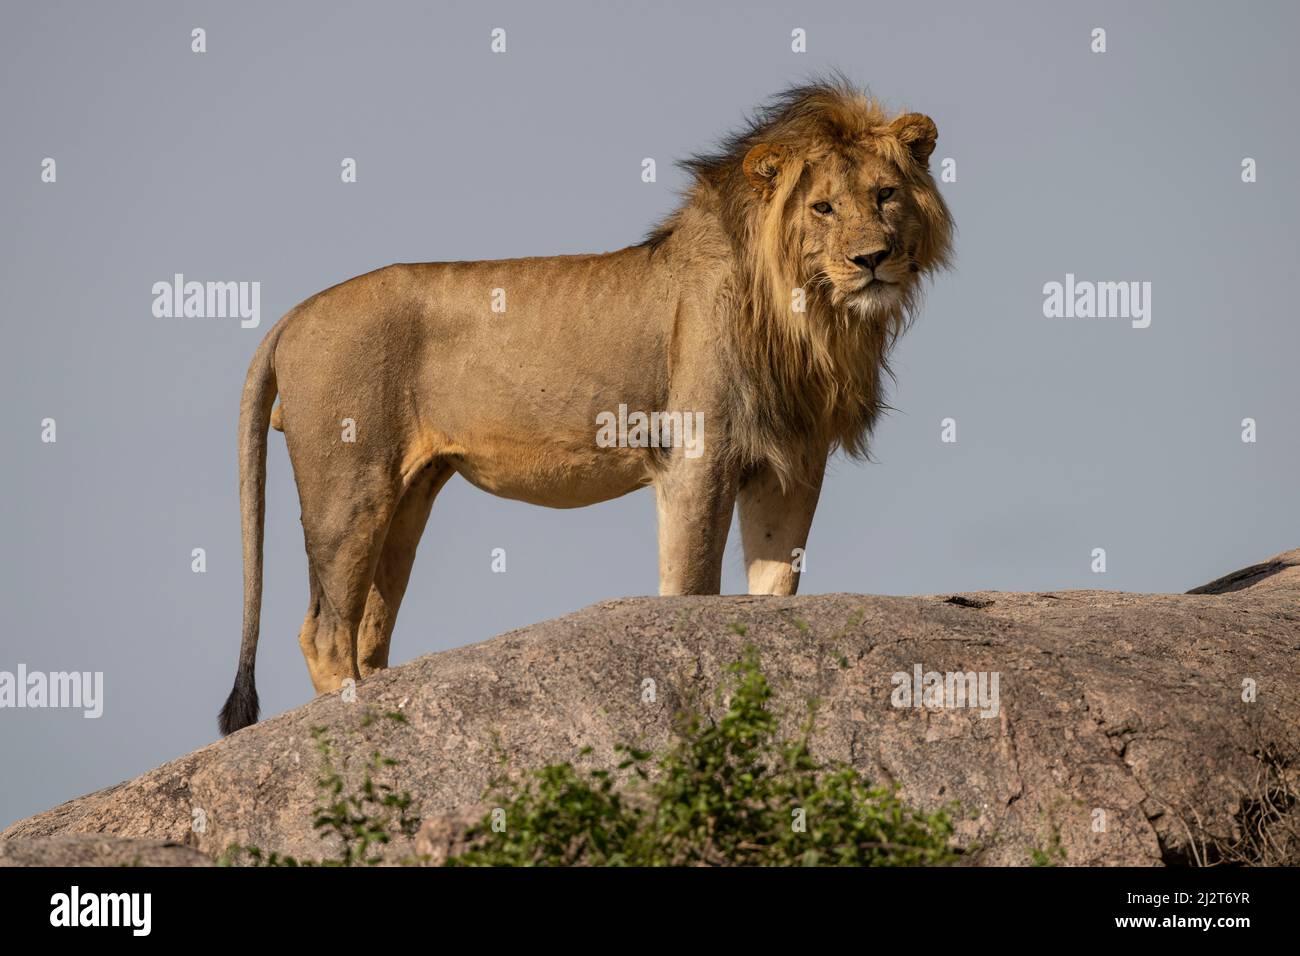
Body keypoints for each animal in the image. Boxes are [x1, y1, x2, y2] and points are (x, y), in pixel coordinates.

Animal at [218, 78, 956, 733]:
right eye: (823, 208)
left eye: (886, 196)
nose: (873, 259)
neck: (811, 315)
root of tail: (291, 315)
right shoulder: (698, 453)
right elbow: (691, 583)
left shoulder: (794, 463)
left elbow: (775, 583)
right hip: (352, 486)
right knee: (323, 629)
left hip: (409, 496)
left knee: (368, 624)